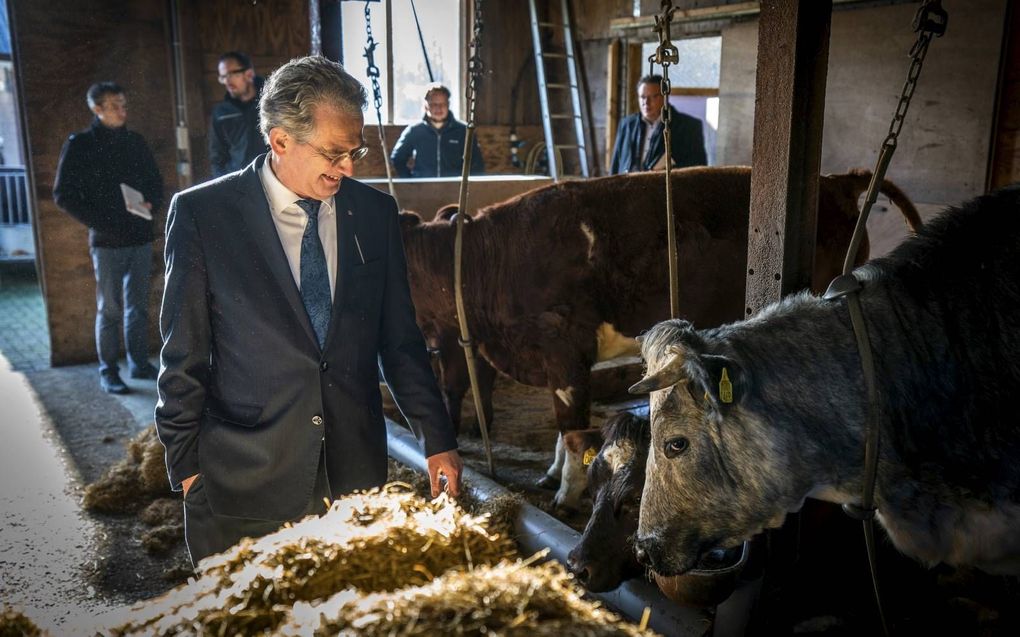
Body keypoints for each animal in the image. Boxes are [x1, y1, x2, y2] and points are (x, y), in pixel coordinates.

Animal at [395, 166, 918, 503]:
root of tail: (834, 181)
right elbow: (562, 431)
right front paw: (551, 475)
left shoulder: (565, 349)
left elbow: (572, 431)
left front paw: (567, 492)